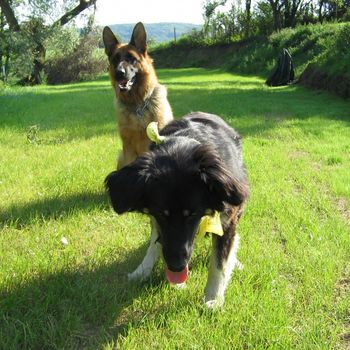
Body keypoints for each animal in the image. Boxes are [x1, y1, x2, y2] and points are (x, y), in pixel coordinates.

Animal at [102, 22, 174, 169]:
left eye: (131, 58)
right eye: (115, 59)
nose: (119, 73)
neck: (137, 104)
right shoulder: (128, 149)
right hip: (121, 157)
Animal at [105, 113, 250, 308]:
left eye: (192, 214)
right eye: (161, 213)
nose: (176, 266)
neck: (183, 144)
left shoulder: (228, 219)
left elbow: (219, 262)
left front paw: (213, 298)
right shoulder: (156, 219)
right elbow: (156, 243)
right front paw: (144, 271)